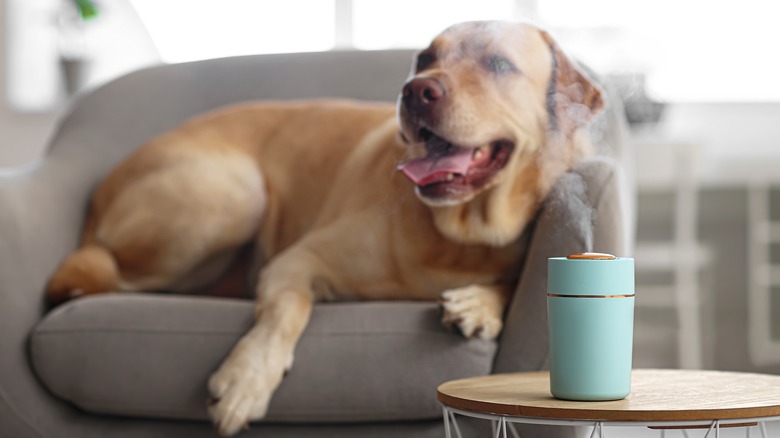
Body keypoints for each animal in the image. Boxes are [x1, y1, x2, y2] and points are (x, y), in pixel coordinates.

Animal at [45, 19, 604, 434]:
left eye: (498, 63)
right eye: (425, 58)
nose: (415, 91)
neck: (459, 231)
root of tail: (101, 191)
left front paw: (480, 304)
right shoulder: (297, 261)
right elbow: (287, 310)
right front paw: (247, 379)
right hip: (236, 193)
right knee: (100, 278)